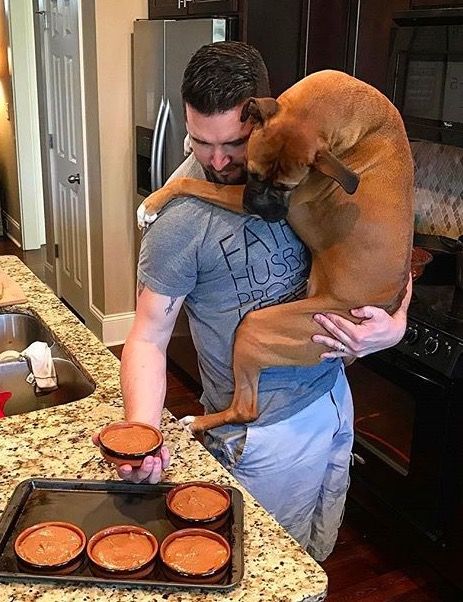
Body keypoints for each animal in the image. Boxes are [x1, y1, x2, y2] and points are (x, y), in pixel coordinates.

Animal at [143, 70, 416, 432]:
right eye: (253, 173)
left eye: (288, 187)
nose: (260, 208)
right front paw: (189, 143)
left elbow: (192, 183)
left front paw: (150, 204)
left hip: (261, 327)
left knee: (246, 409)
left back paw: (197, 421)